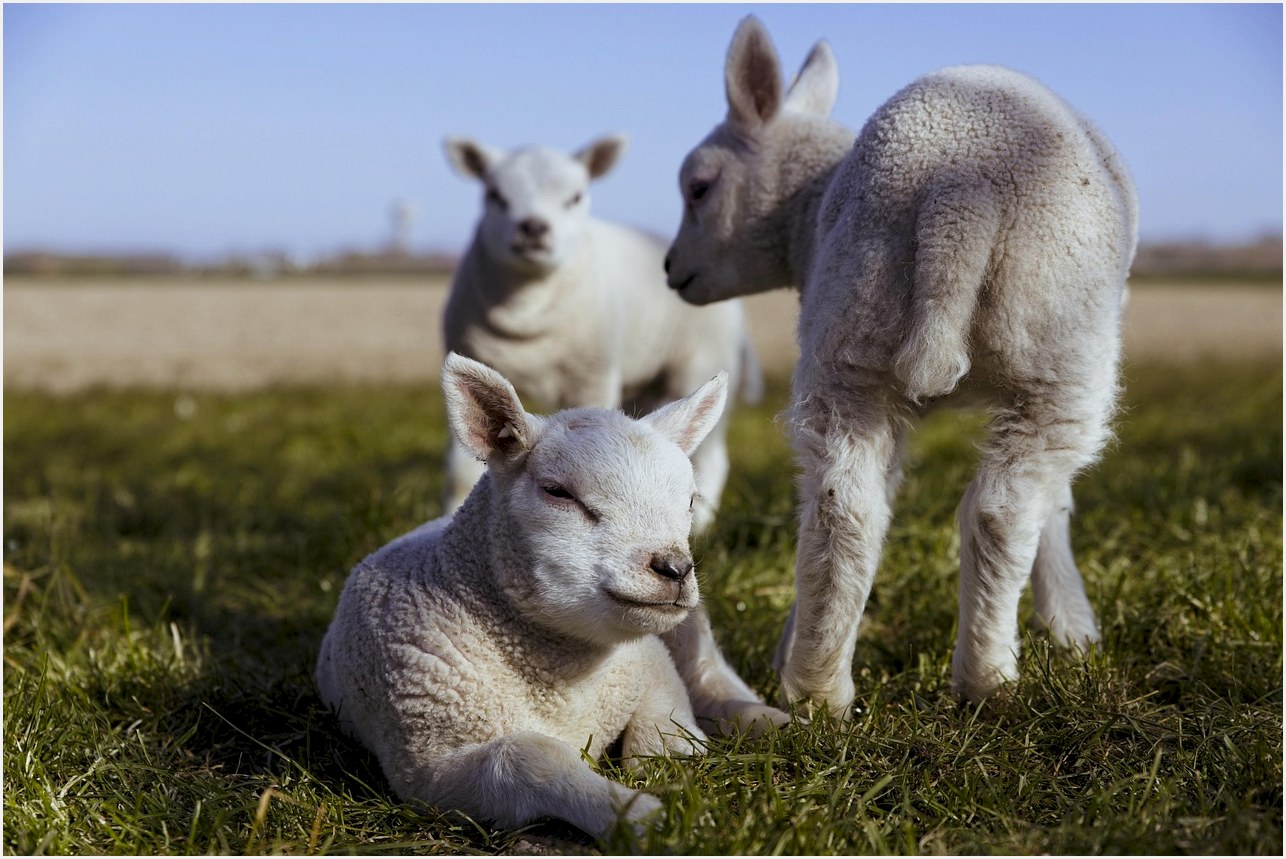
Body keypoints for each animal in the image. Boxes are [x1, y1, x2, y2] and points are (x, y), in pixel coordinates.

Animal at [316, 353, 731, 839]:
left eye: (690, 501)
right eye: (558, 492)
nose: (675, 569)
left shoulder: (652, 665)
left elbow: (668, 734)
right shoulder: (425, 766)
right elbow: (530, 755)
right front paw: (645, 817)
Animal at [664, 17, 1138, 712]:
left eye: (698, 188)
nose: (670, 269)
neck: (806, 211)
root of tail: (958, 194)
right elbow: (1056, 508)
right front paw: (1073, 627)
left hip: (851, 332)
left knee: (845, 509)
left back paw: (817, 687)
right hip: (1059, 355)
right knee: (1004, 510)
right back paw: (987, 679)